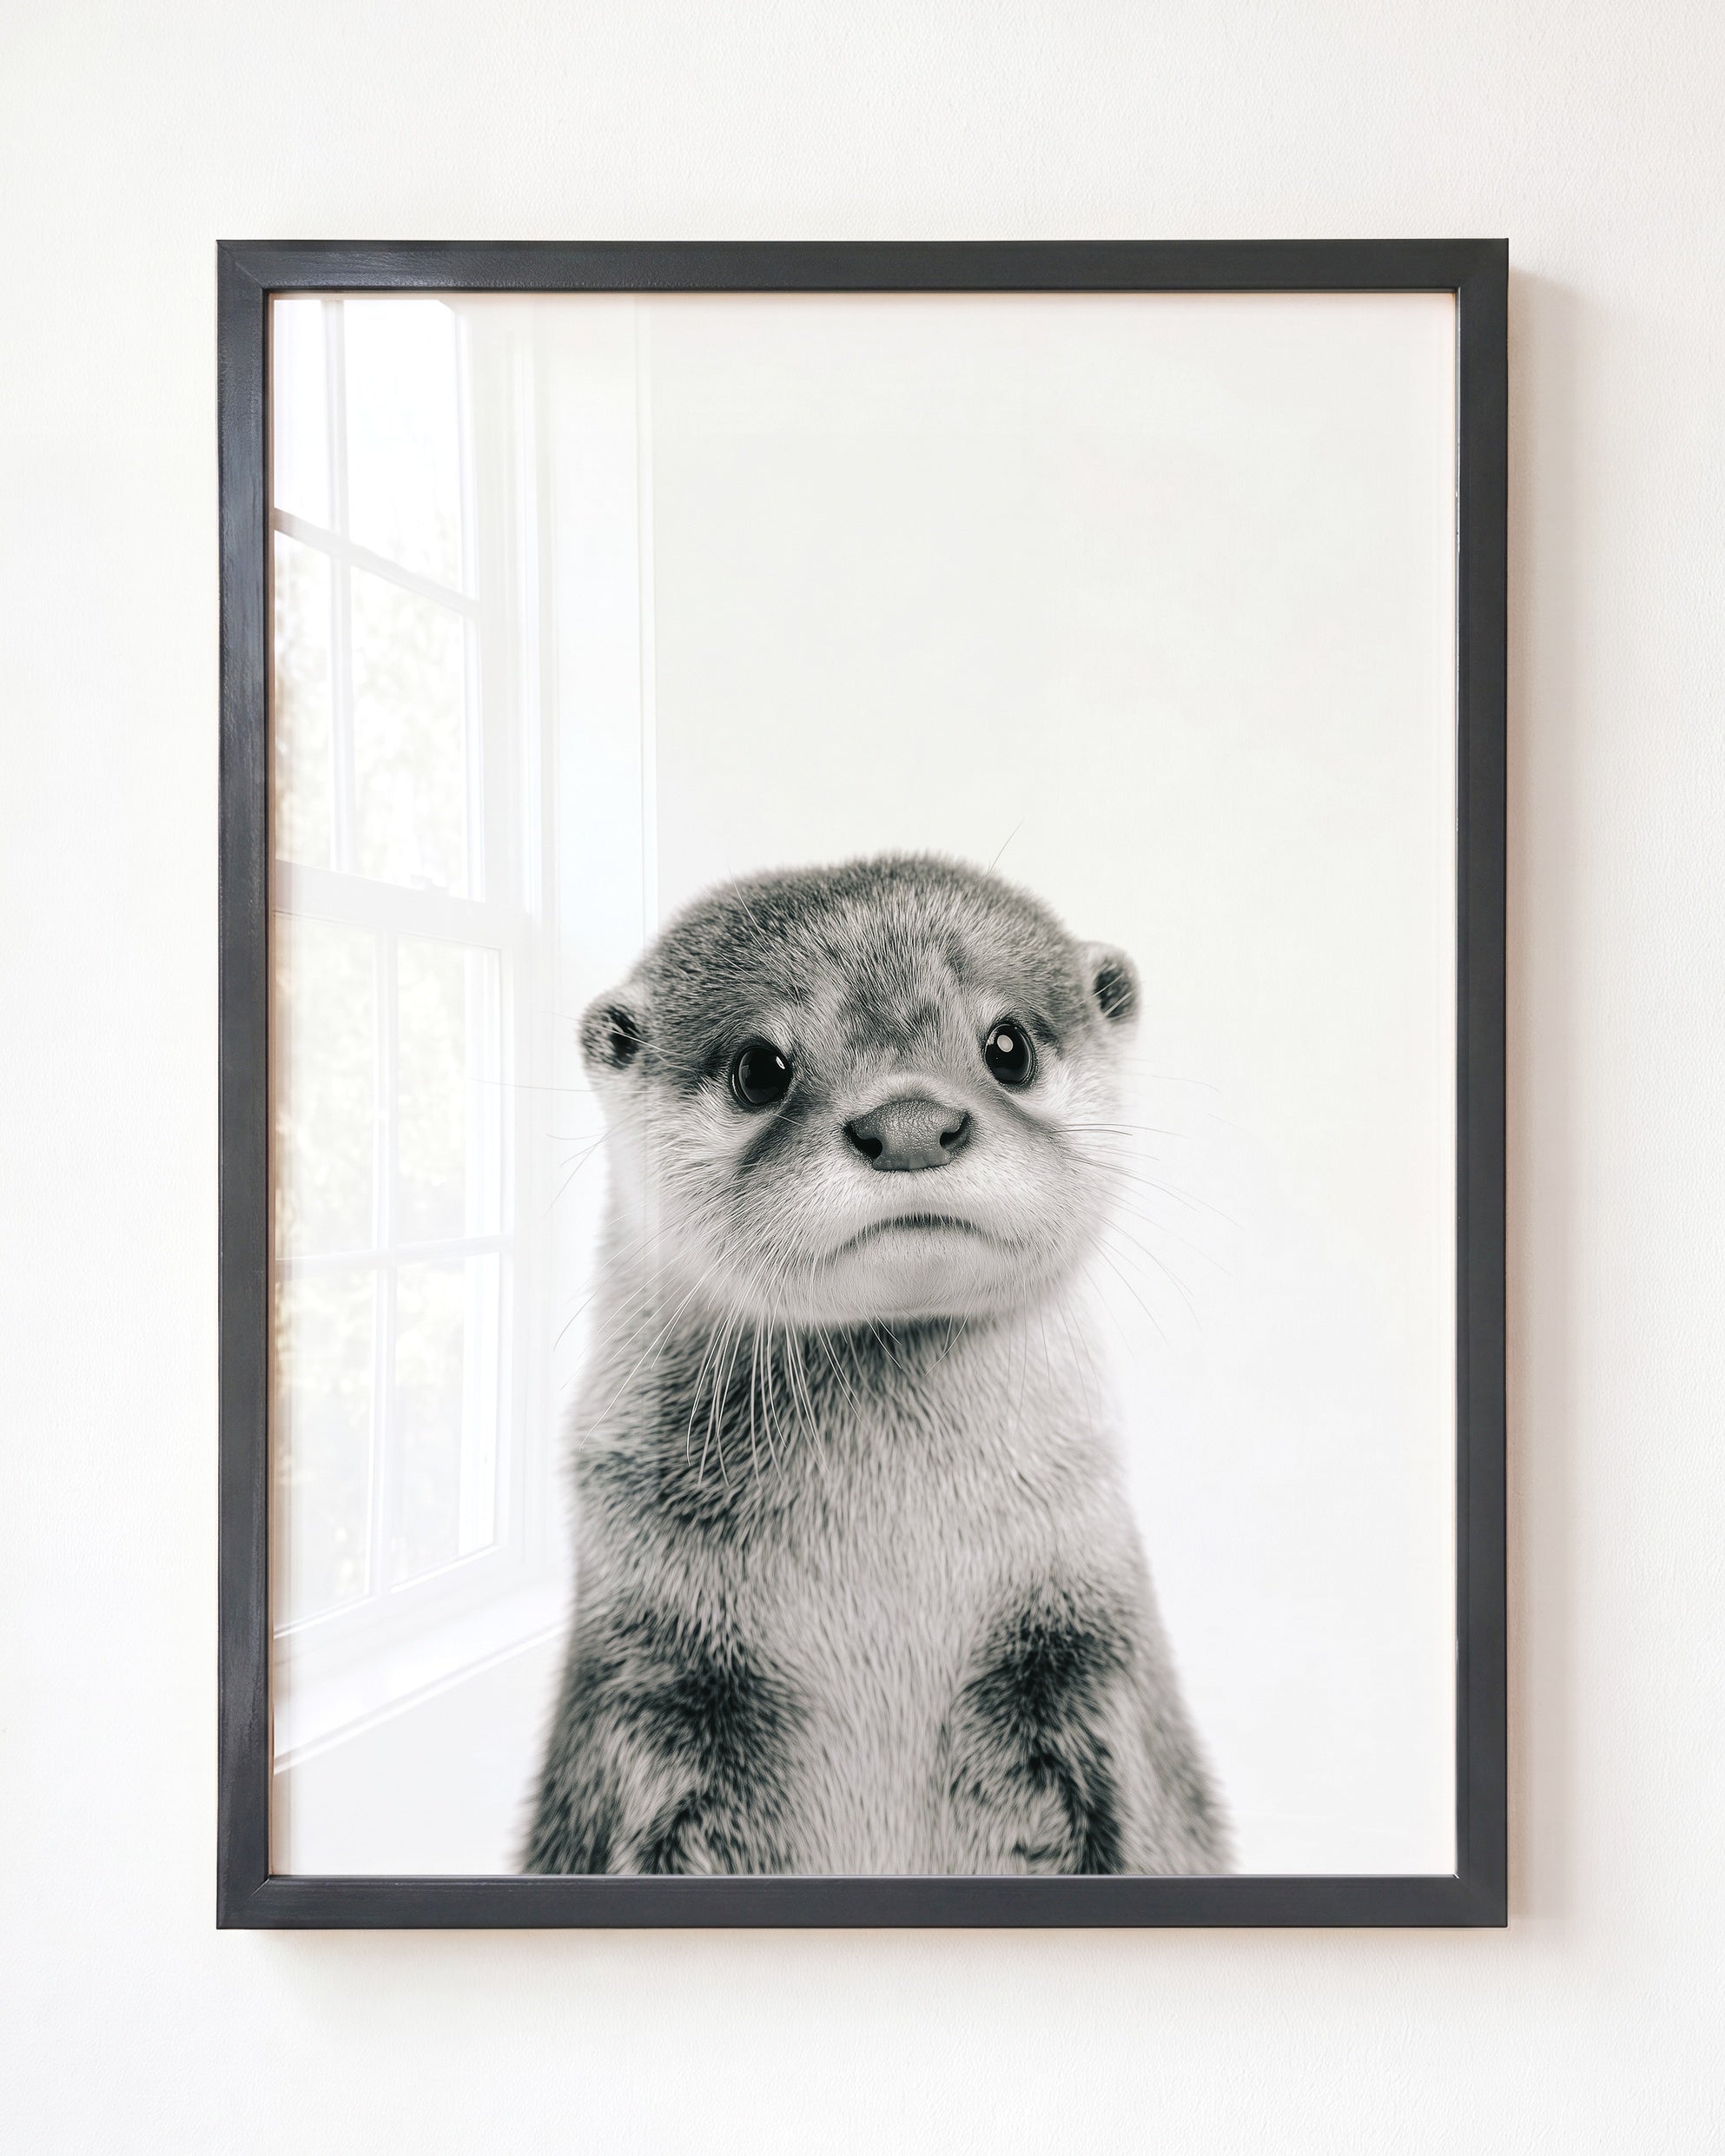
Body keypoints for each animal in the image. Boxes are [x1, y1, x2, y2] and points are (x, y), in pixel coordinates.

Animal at [525, 854, 1227, 1876]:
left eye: (1008, 1045)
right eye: (760, 1068)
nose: (910, 1123)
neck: (888, 1567)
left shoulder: (1100, 1665)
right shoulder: (640, 1680)